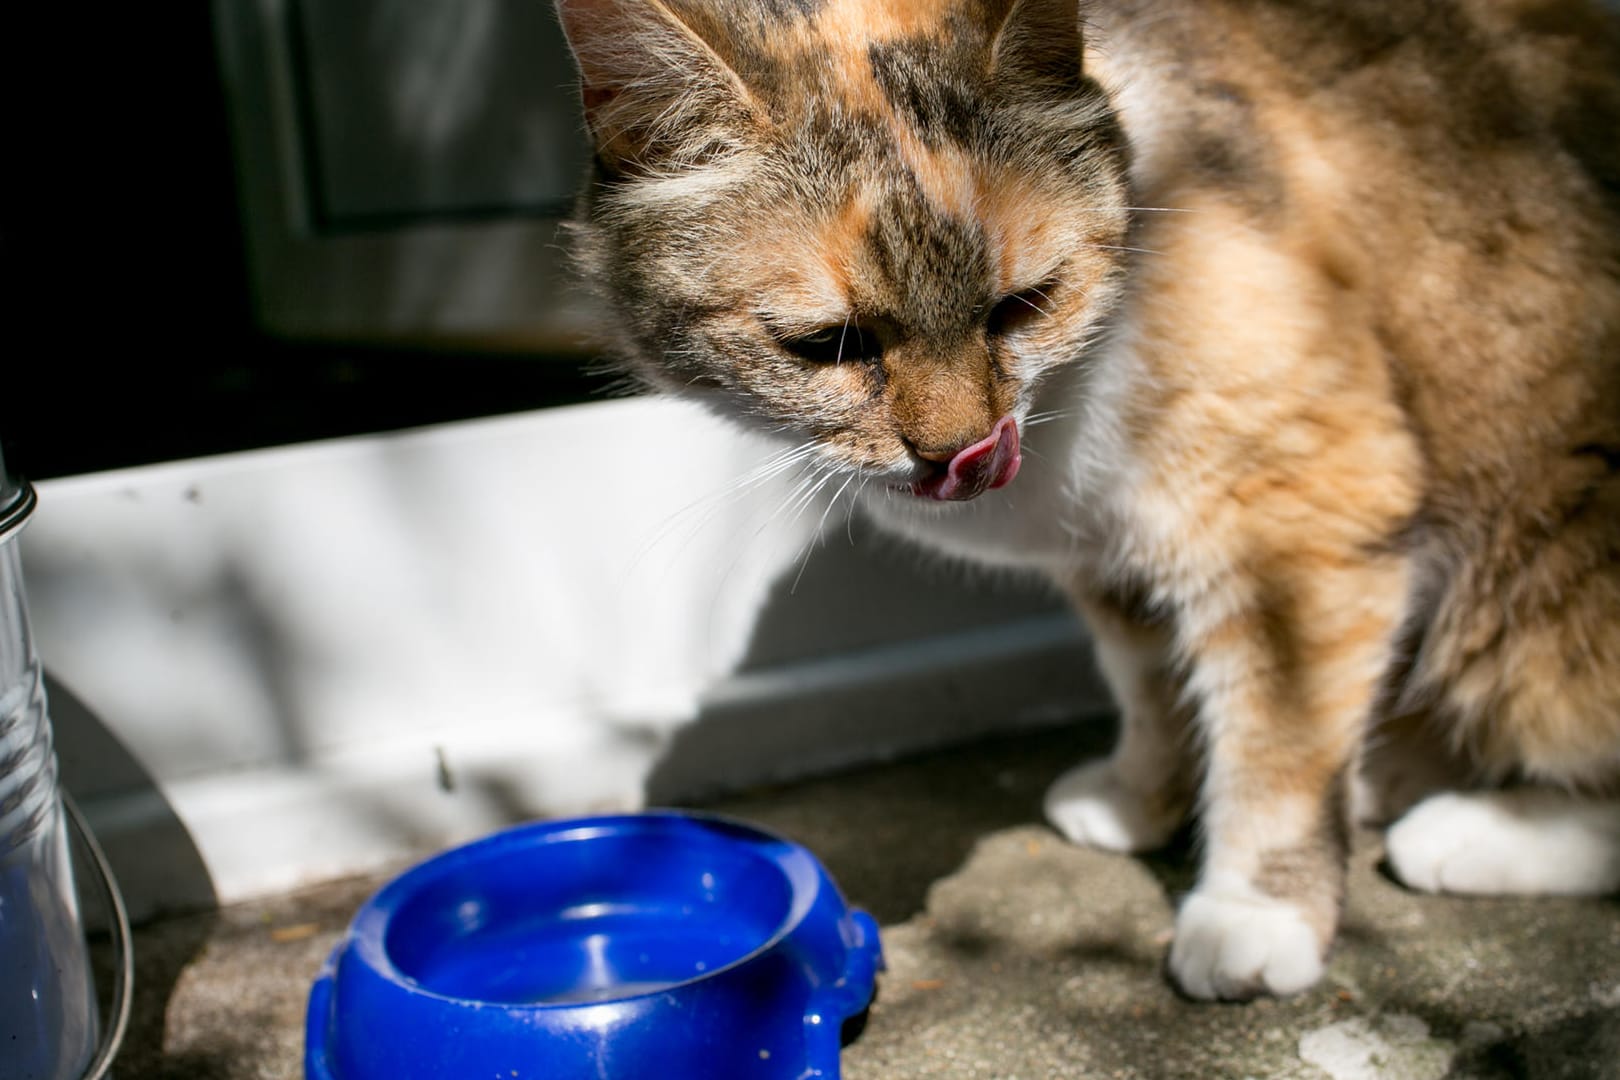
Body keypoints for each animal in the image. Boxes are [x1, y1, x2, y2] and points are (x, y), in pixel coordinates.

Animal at [550, 0, 1613, 1003]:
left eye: (1022, 304)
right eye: (827, 345)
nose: (960, 453)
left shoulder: (1300, 520)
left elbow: (1277, 740)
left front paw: (1256, 910)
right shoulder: (1115, 554)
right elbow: (1149, 682)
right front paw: (1146, 799)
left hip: (1543, 588)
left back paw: (1463, 827)